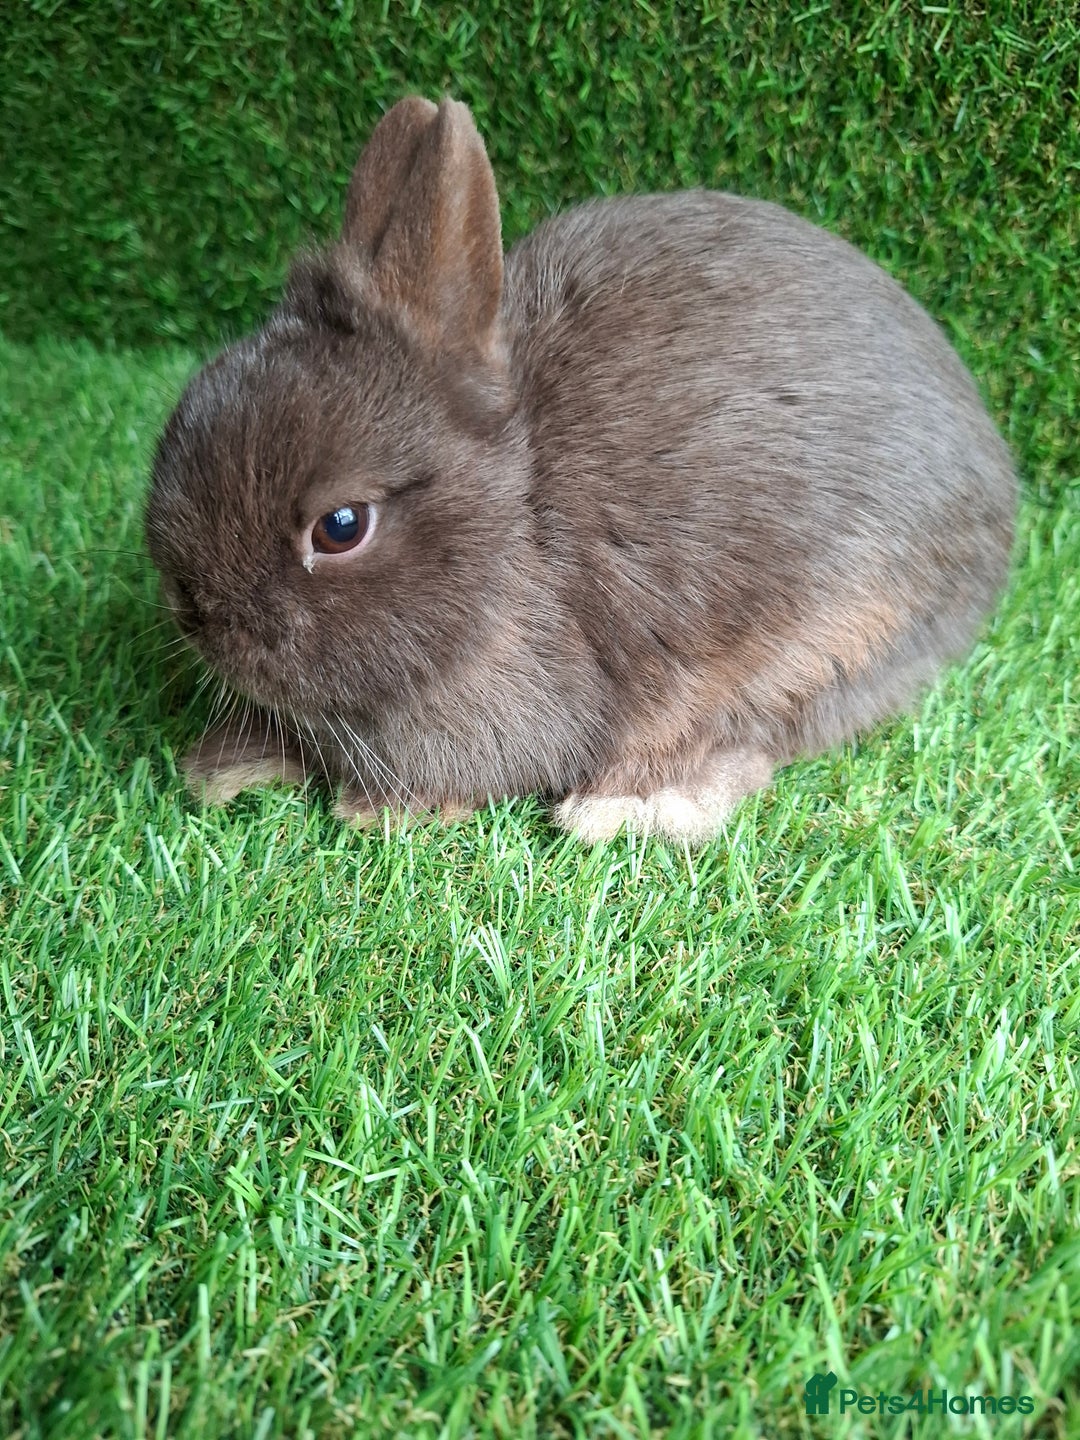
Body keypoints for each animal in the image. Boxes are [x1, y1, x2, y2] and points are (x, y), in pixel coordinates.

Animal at [145, 95, 1017, 844]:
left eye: (340, 527)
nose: (193, 610)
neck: (515, 514)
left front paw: (381, 810)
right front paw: (229, 762)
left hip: (838, 632)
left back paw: (632, 801)